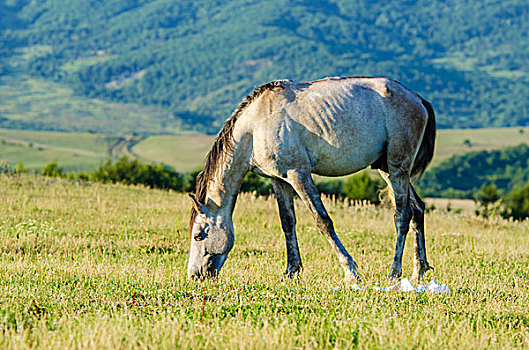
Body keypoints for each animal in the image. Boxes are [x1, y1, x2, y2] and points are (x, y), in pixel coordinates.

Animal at [186, 76, 434, 282]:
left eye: (198, 236)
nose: (195, 276)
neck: (255, 127)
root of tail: (419, 99)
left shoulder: (298, 174)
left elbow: (322, 220)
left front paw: (350, 271)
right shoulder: (279, 180)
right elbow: (287, 222)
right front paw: (290, 271)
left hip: (397, 166)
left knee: (402, 215)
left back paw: (394, 272)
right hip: (387, 169)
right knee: (417, 209)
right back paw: (419, 270)